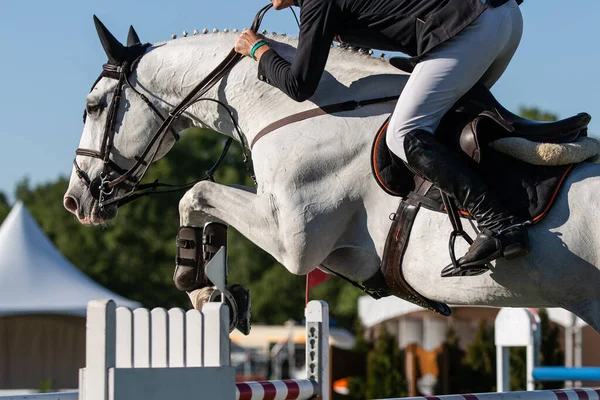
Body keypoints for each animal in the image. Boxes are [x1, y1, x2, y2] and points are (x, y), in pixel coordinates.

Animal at [62, 23, 600, 332]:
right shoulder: (343, 254)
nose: (74, 201)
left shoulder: (292, 240)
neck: (300, 109)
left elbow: (195, 193)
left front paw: (197, 285)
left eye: (93, 106)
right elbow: (205, 201)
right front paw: (221, 290)